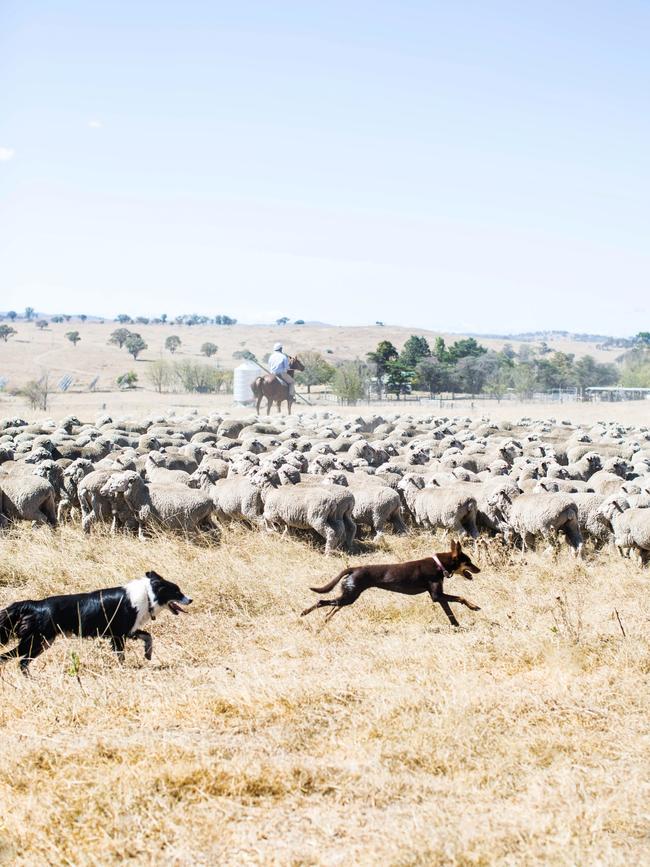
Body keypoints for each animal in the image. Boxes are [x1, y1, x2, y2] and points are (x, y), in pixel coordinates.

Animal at [0, 568, 191, 672]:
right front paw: (123, 669)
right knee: (12, 658)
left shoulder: (127, 631)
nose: (190, 599)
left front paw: (148, 654)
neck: (148, 595)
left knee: (21, 661)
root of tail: (35, 604)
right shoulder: (118, 634)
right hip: (36, 641)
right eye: (177, 591)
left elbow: (148, 636)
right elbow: (122, 656)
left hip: (43, 642)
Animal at [302, 540, 478, 628]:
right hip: (350, 596)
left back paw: (324, 621)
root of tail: (354, 569)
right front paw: (473, 608)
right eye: (469, 561)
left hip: (348, 596)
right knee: (321, 602)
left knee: (332, 608)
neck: (439, 564)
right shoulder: (437, 595)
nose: (479, 569)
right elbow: (460, 599)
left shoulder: (439, 596)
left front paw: (457, 625)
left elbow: (451, 611)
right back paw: (304, 613)